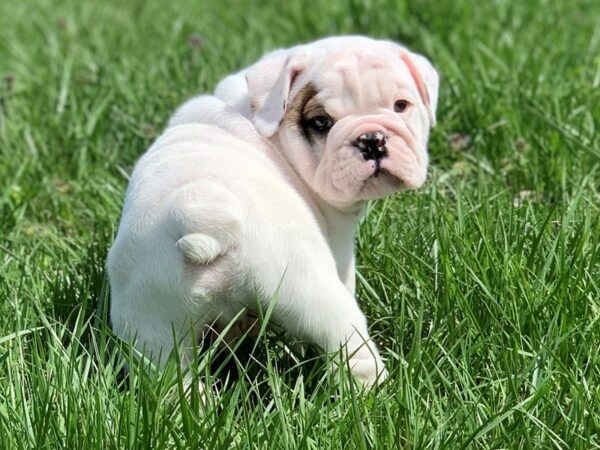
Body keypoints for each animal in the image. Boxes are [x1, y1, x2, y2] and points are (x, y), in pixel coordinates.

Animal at [105, 36, 438, 386]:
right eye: (321, 123)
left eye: (401, 105)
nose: (372, 139)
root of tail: (198, 218)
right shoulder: (338, 247)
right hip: (309, 289)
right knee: (346, 342)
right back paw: (373, 389)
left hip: (151, 323)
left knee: (167, 376)